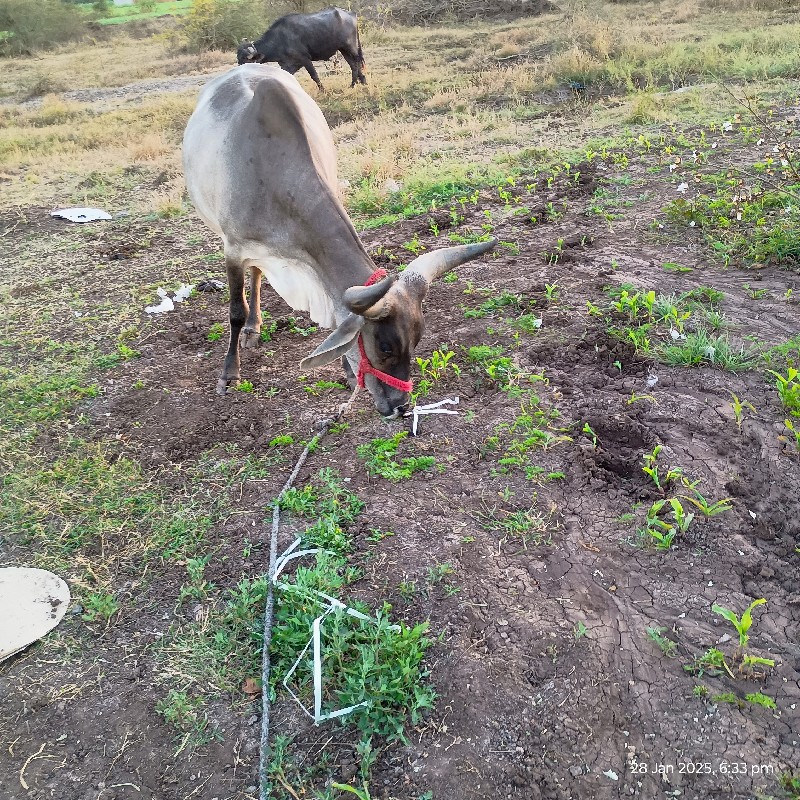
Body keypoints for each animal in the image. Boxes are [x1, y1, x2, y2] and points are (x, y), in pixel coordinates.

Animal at [185, 64, 496, 418]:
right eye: (385, 345)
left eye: (417, 339)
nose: (401, 407)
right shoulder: (234, 249)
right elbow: (235, 311)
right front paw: (229, 373)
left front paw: (348, 374)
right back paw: (250, 330)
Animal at [234, 6, 366, 89]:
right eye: (238, 59)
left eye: (246, 60)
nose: (240, 74)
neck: (279, 39)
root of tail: (351, 14)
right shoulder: (288, 65)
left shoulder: (305, 59)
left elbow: (314, 75)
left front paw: (323, 90)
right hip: (343, 49)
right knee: (353, 64)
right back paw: (355, 84)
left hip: (351, 46)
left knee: (357, 62)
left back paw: (361, 82)